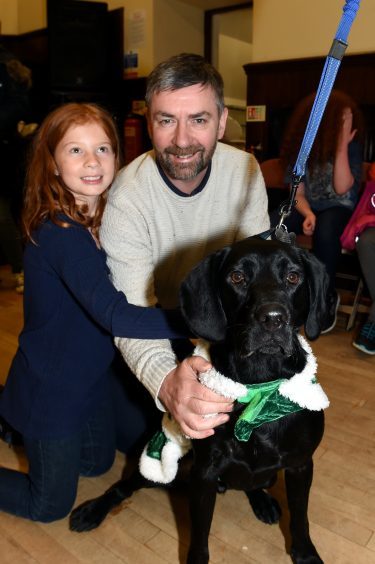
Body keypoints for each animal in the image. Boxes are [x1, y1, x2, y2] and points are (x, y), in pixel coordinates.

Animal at [70, 238, 328, 564]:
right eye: (237, 277)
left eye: (293, 277)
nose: (272, 320)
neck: (259, 384)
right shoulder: (205, 472)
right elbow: (199, 535)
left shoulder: (300, 465)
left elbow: (300, 518)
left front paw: (305, 554)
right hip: (167, 463)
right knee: (123, 486)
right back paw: (92, 510)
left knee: (253, 484)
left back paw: (263, 502)